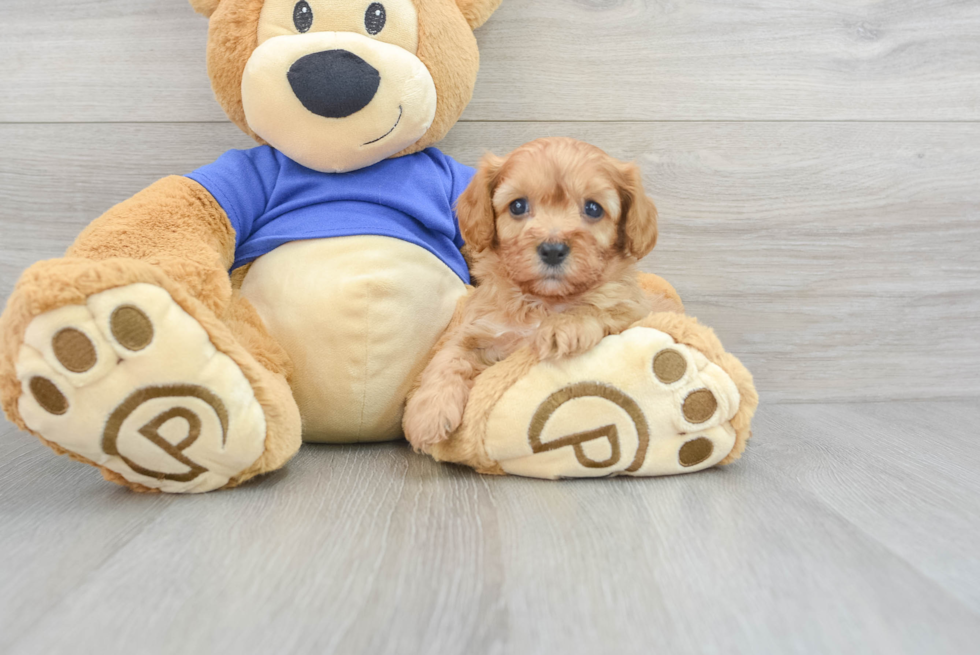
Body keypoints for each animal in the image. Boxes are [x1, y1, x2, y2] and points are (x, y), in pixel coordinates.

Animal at [402, 138, 676, 452]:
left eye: (593, 208)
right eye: (518, 206)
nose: (553, 249)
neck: (544, 300)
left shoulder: (633, 311)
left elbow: (598, 308)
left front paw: (564, 327)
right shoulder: (478, 328)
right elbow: (448, 357)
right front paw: (427, 415)